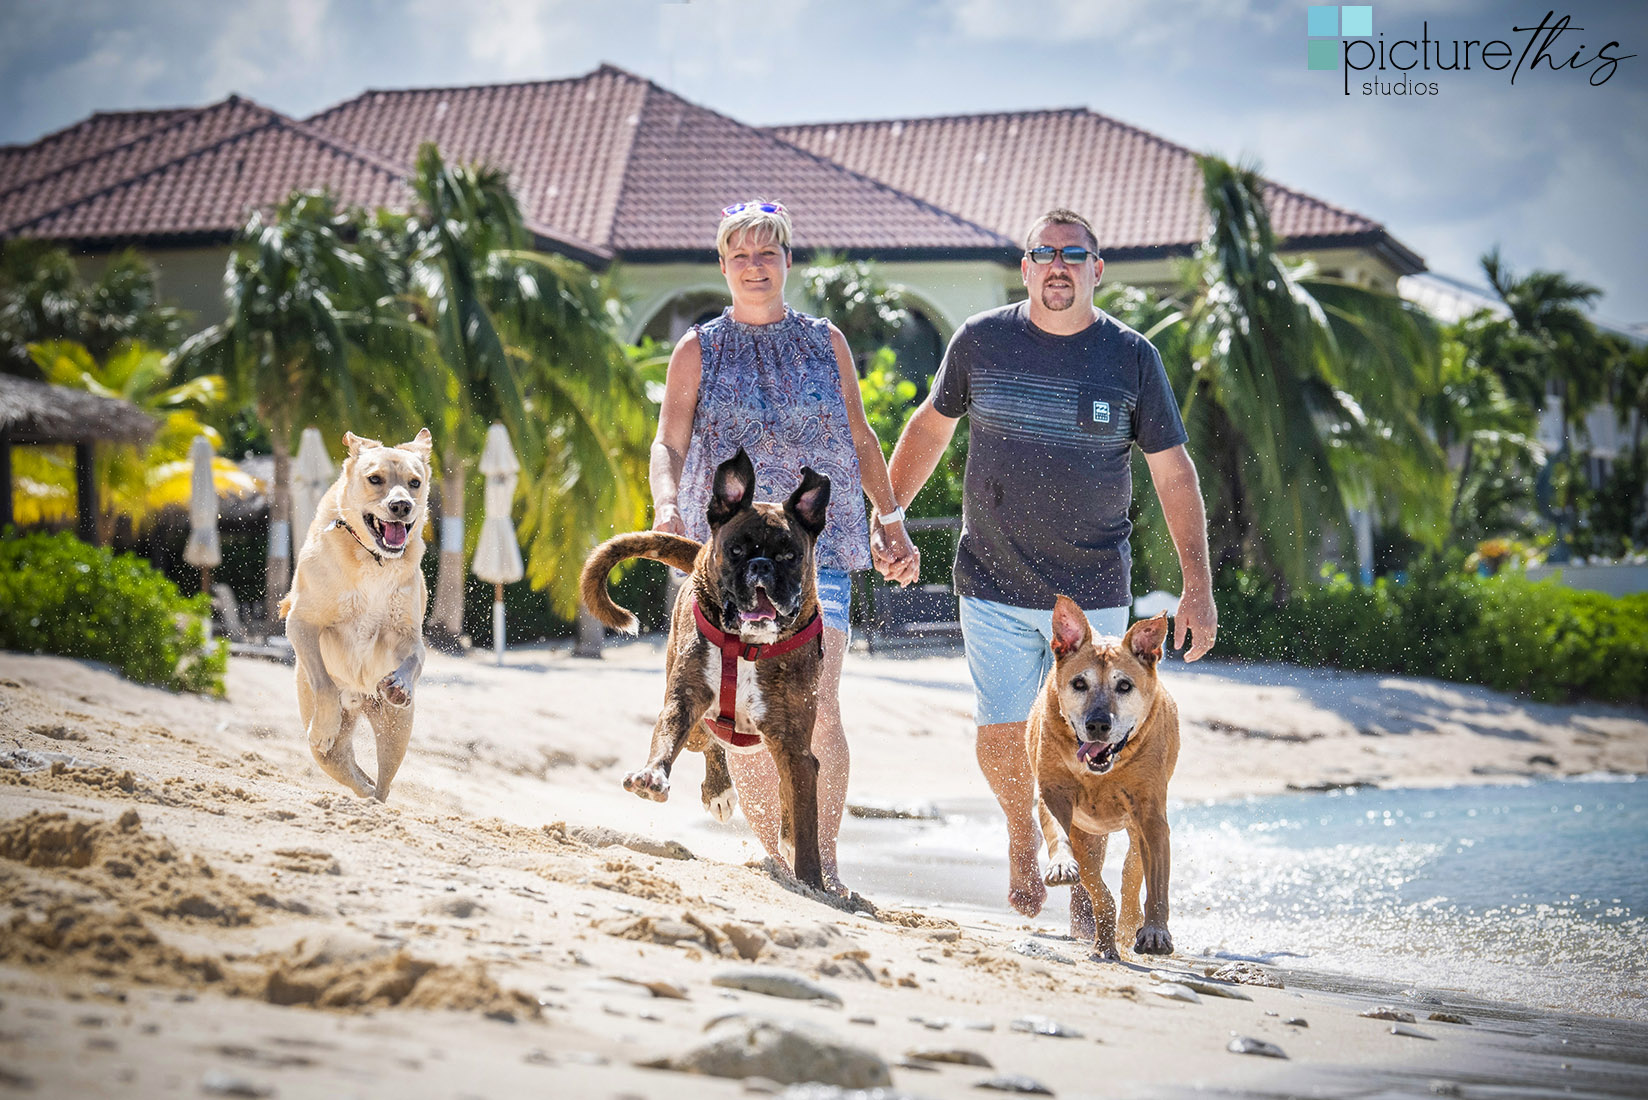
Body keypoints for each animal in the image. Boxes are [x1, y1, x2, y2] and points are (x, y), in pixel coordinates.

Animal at [283, 428, 438, 801]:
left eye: (414, 482)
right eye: (375, 479)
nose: (401, 506)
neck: (373, 557)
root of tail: (358, 699)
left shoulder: (406, 634)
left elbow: (415, 658)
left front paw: (400, 684)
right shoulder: (302, 622)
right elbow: (323, 682)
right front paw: (324, 725)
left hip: (396, 729)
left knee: (381, 783)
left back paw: (375, 799)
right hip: (327, 750)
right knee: (345, 766)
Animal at [583, 451, 837, 890]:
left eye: (790, 556)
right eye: (736, 550)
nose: (761, 566)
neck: (747, 645)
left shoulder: (795, 747)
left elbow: (805, 822)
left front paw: (811, 881)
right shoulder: (684, 701)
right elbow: (666, 740)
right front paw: (653, 776)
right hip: (701, 724)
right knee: (710, 744)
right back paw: (718, 791)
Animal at [1021, 597, 1179, 956]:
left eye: (1124, 686)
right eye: (1080, 683)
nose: (1097, 724)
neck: (1102, 772)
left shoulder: (1151, 814)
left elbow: (1157, 878)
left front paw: (1155, 930)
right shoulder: (1055, 794)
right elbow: (1067, 846)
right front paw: (1062, 865)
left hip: (1136, 828)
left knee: (1133, 871)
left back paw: (1130, 925)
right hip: (1087, 831)